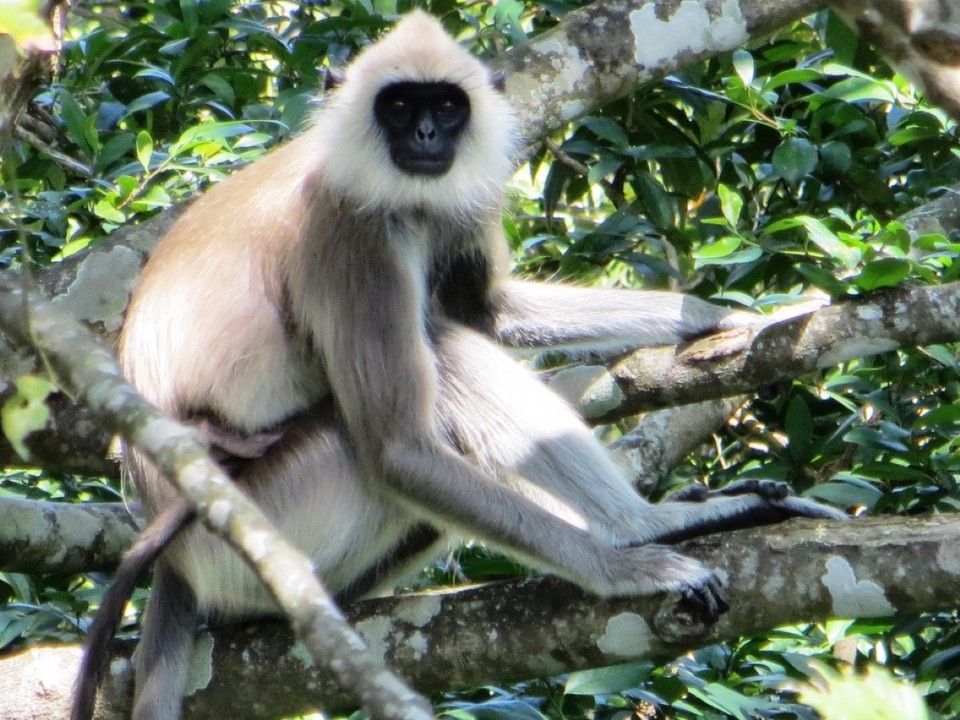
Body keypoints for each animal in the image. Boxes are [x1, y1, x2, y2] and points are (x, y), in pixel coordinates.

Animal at [71, 14, 844, 720]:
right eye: (399, 106)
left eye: (445, 107)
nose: (425, 137)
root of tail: (174, 557)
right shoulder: (348, 228)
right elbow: (398, 446)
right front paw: (624, 567)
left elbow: (489, 310)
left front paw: (719, 317)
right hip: (263, 518)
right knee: (436, 356)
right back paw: (646, 528)